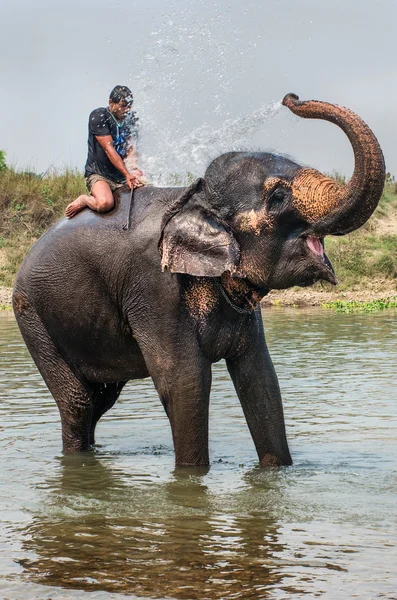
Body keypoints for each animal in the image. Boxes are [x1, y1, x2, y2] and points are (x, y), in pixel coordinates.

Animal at [12, 95, 384, 468]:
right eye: (278, 197)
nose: (290, 98)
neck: (194, 197)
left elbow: (260, 378)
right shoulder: (153, 287)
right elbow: (185, 381)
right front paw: (191, 477)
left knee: (101, 399)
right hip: (33, 318)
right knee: (78, 401)